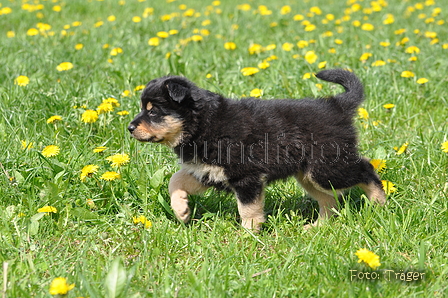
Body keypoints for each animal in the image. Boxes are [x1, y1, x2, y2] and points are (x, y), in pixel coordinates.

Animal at [129, 69, 384, 230]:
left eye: (153, 111)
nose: (130, 128)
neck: (202, 124)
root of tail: (337, 105)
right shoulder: (205, 171)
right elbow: (175, 180)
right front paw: (181, 210)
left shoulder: (245, 175)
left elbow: (248, 209)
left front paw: (249, 234)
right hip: (309, 174)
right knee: (329, 199)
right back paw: (318, 226)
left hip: (326, 167)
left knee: (366, 169)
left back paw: (379, 203)